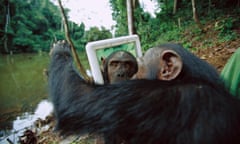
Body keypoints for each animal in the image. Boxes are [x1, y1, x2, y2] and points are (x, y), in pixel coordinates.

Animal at [47, 40, 240, 144]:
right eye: (115, 64)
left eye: (129, 65)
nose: (122, 73)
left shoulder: (143, 97)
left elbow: (76, 98)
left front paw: (60, 50)